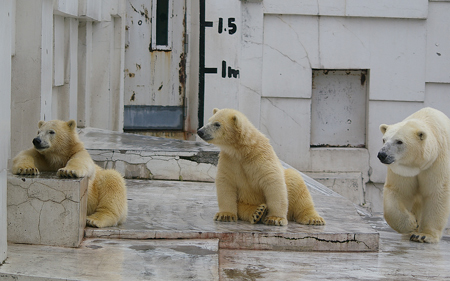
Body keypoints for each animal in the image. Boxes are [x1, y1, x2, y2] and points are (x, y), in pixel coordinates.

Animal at [378, 106, 450, 242]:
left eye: (399, 141)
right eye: (384, 139)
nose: (382, 154)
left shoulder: (438, 161)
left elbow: (437, 192)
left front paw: (424, 235)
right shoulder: (403, 170)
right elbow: (399, 191)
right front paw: (411, 224)